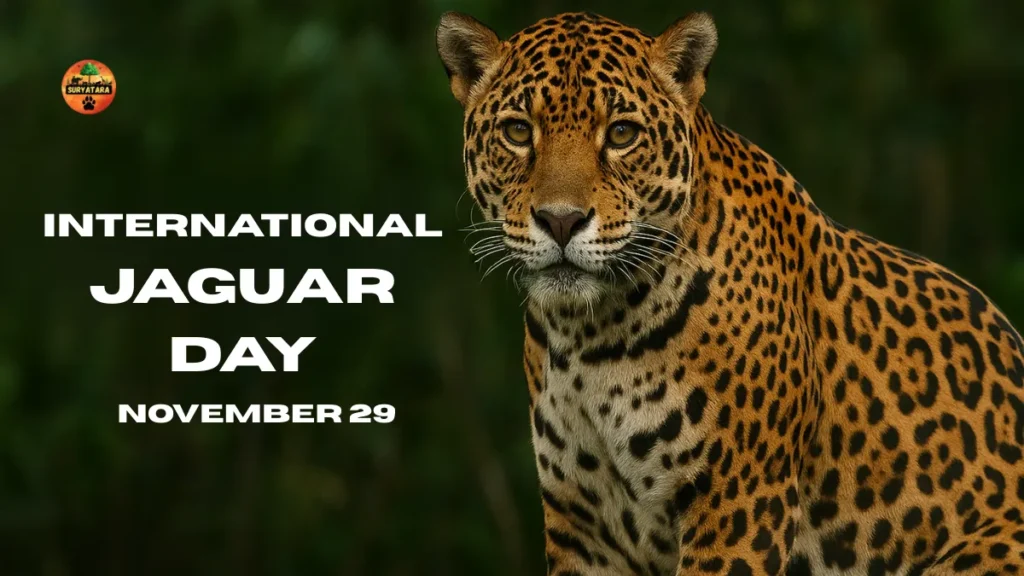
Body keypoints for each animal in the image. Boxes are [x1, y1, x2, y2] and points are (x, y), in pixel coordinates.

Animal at [436, 10, 1024, 576]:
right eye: (518, 131)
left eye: (622, 134)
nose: (561, 221)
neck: (592, 334)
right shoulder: (582, 525)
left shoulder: (739, 503)